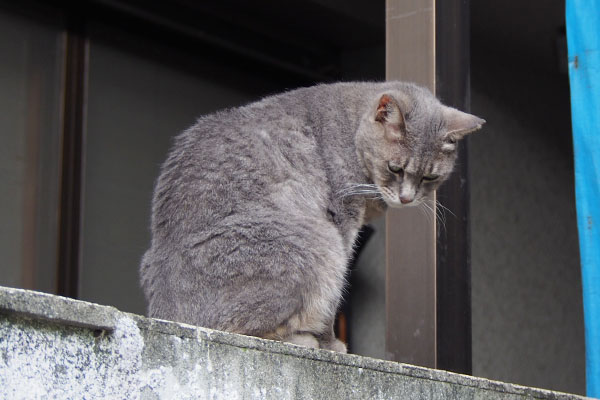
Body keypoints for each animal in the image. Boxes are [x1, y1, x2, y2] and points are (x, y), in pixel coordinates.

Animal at [139, 81, 482, 354]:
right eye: (395, 168)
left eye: (430, 177)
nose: (407, 198)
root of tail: (163, 310)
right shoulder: (341, 225)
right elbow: (332, 304)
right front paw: (330, 344)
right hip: (318, 242)